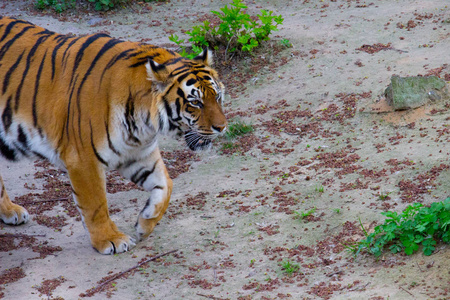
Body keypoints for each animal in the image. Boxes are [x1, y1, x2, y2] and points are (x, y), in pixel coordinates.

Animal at [0, 16, 227, 254]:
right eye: (196, 102)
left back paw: (10, 212)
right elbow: (95, 204)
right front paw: (110, 239)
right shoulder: (83, 160)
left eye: (217, 97)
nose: (222, 127)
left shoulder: (139, 152)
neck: (143, 122)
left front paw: (145, 222)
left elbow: (166, 185)